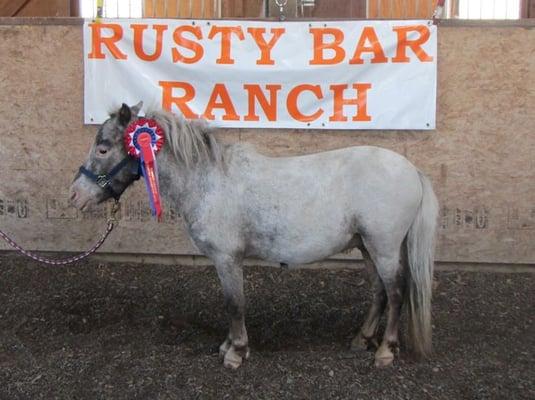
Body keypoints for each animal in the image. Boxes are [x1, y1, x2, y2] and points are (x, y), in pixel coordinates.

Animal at [70, 102, 440, 368]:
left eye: (103, 148)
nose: (75, 195)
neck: (209, 181)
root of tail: (411, 169)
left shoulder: (227, 259)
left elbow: (235, 304)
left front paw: (235, 352)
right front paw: (227, 346)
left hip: (384, 247)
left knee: (395, 292)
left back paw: (385, 352)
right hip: (367, 246)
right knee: (379, 292)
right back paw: (362, 340)